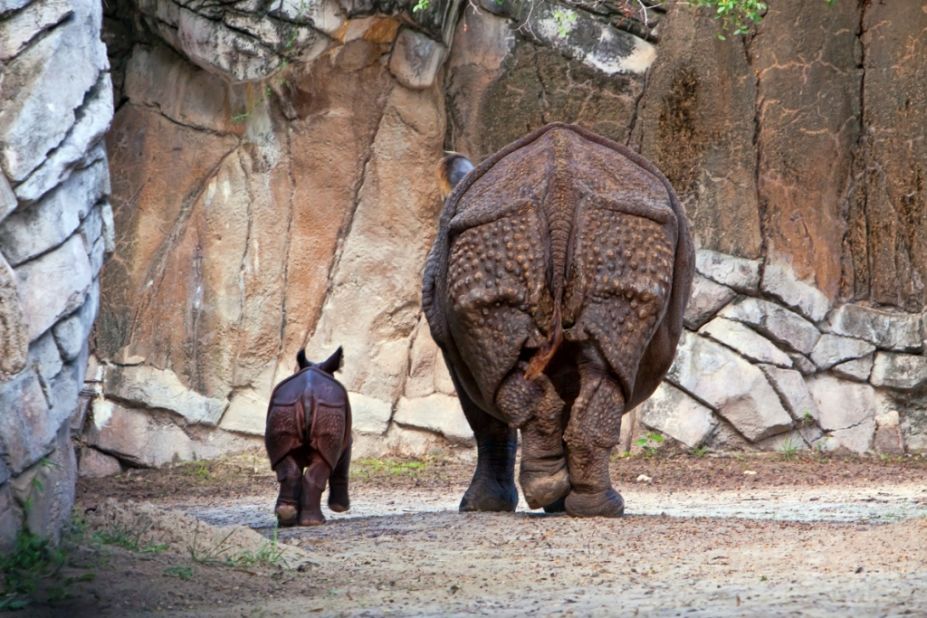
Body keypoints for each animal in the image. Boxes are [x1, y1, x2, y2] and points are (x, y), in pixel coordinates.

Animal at [268, 346, 356, 524]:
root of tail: (307, 394)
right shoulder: (347, 440)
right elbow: (342, 463)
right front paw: (339, 508)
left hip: (284, 407)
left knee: (284, 461)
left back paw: (286, 516)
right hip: (329, 409)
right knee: (325, 463)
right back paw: (315, 522)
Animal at [424, 120, 692, 516]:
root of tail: (561, 190)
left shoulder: (448, 344)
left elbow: (486, 419)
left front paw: (494, 505)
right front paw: (552, 501)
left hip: (520, 226)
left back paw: (575, 500)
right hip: (606, 226)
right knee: (597, 363)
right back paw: (591, 504)